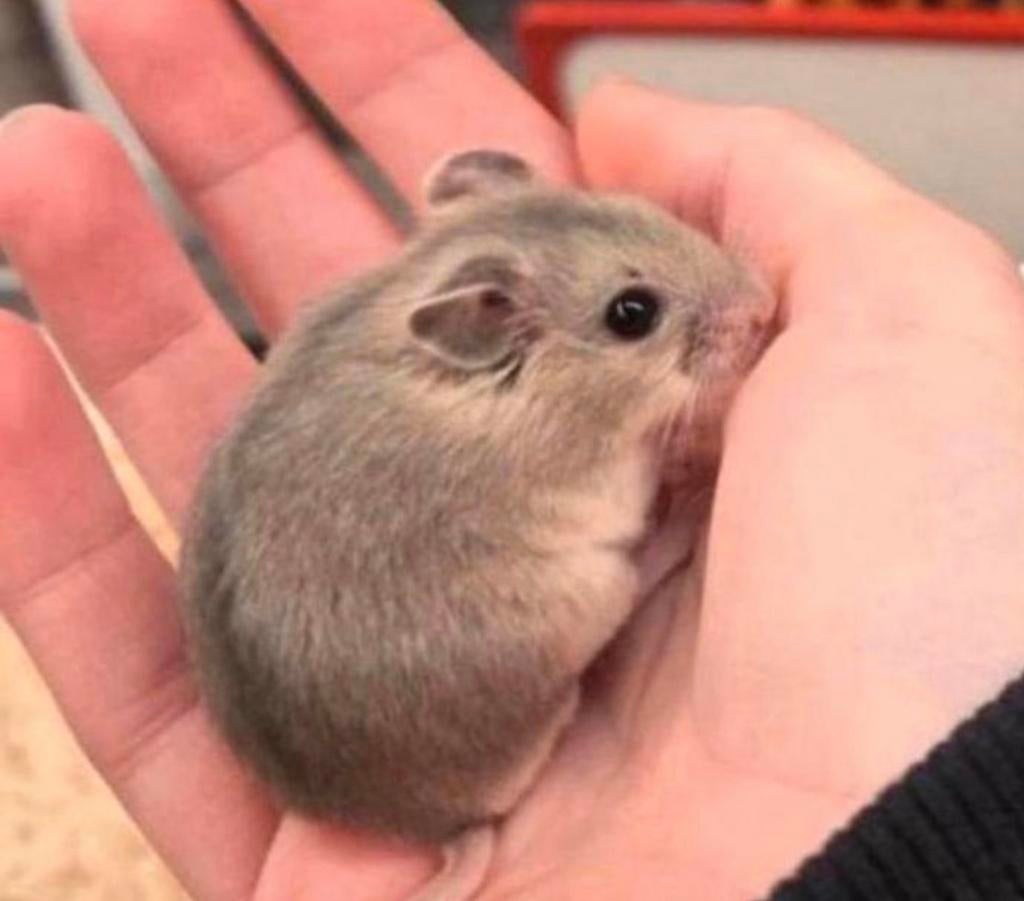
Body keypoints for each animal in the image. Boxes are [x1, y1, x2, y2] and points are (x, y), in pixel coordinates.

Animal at [178, 150, 773, 897]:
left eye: (642, 208)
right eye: (631, 314)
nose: (765, 305)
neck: (521, 384)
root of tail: (438, 826)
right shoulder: (611, 480)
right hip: (588, 590)